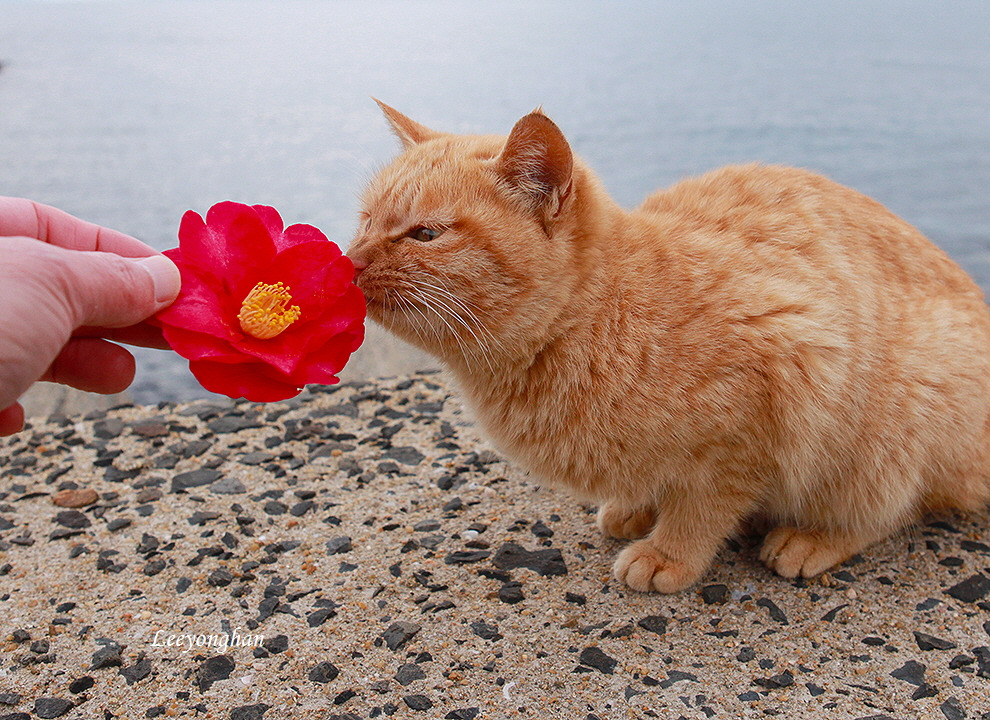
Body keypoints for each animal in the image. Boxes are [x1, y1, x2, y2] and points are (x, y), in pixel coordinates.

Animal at [346, 102, 990, 596]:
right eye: (366, 220)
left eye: (425, 234)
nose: (350, 262)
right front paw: (635, 506)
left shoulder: (766, 395)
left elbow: (703, 505)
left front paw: (669, 552)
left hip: (904, 414)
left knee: (894, 507)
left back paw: (811, 539)